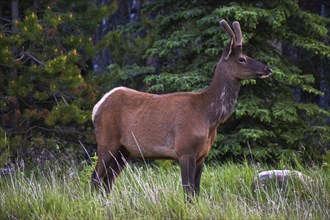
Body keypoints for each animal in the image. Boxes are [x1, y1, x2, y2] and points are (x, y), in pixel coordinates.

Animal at [90, 19, 270, 199]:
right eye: (242, 58)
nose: (268, 69)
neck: (209, 116)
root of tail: (97, 106)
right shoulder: (185, 150)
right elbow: (188, 191)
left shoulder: (202, 155)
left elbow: (195, 191)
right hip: (107, 140)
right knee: (96, 177)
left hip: (125, 150)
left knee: (108, 180)